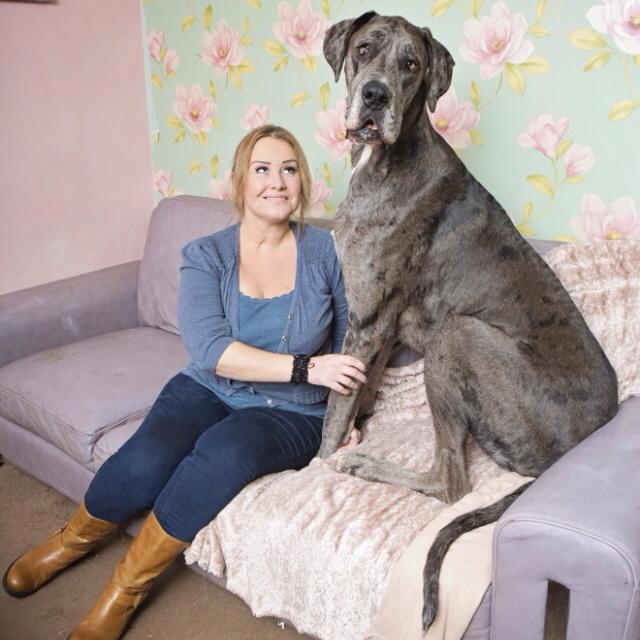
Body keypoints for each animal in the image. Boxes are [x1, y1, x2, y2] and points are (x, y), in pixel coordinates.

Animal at [318, 11, 616, 632]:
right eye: (364, 50)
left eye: (411, 64)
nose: (375, 96)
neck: (390, 158)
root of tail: (575, 447)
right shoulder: (380, 328)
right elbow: (359, 390)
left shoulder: (366, 317)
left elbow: (334, 413)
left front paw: (319, 463)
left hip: (456, 336)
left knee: (451, 483)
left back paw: (364, 463)